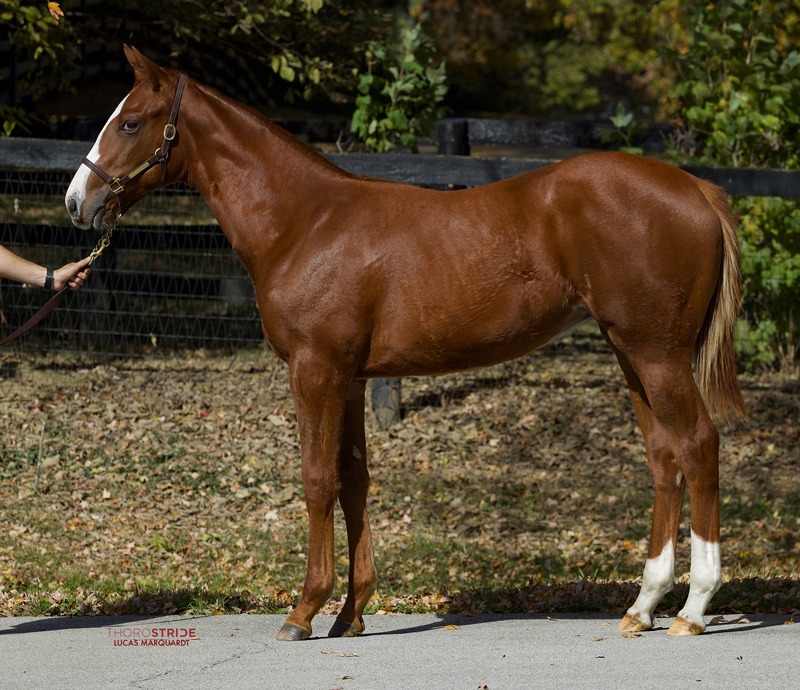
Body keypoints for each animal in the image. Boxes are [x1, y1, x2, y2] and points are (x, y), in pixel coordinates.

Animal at [65, 47, 748, 640]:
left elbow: (317, 478)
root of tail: (696, 190)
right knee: (664, 458)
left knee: (697, 445)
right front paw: (350, 613)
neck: (305, 222)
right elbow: (354, 480)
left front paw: (304, 611)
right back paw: (643, 606)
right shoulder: (349, 379)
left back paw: (694, 608)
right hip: (631, 354)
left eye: (130, 121)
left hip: (657, 355)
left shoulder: (315, 371)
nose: (77, 201)